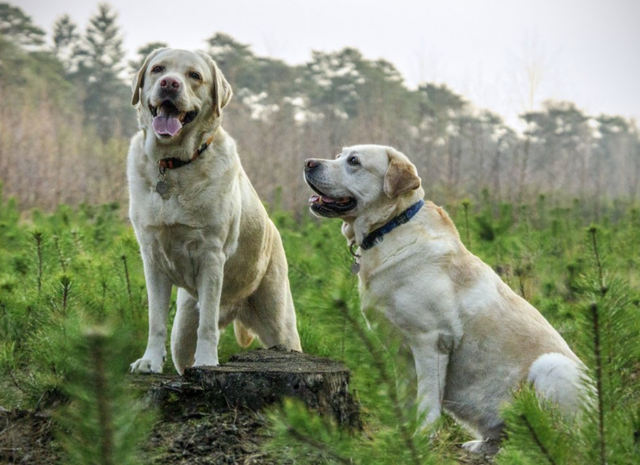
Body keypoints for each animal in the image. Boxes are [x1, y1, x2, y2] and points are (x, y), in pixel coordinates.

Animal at [129, 48, 302, 374]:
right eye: (158, 69)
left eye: (194, 76)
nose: (170, 84)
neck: (174, 165)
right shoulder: (152, 257)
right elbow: (155, 320)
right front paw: (149, 361)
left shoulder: (211, 255)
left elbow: (207, 325)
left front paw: (208, 362)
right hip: (182, 328)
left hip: (280, 325)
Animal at [302, 144, 588, 454]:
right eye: (339, 155)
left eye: (354, 161)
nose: (308, 163)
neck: (390, 228)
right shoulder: (400, 351)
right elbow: (406, 396)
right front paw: (403, 435)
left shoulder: (432, 340)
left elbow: (427, 399)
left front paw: (422, 437)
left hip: (551, 366)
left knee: (566, 440)